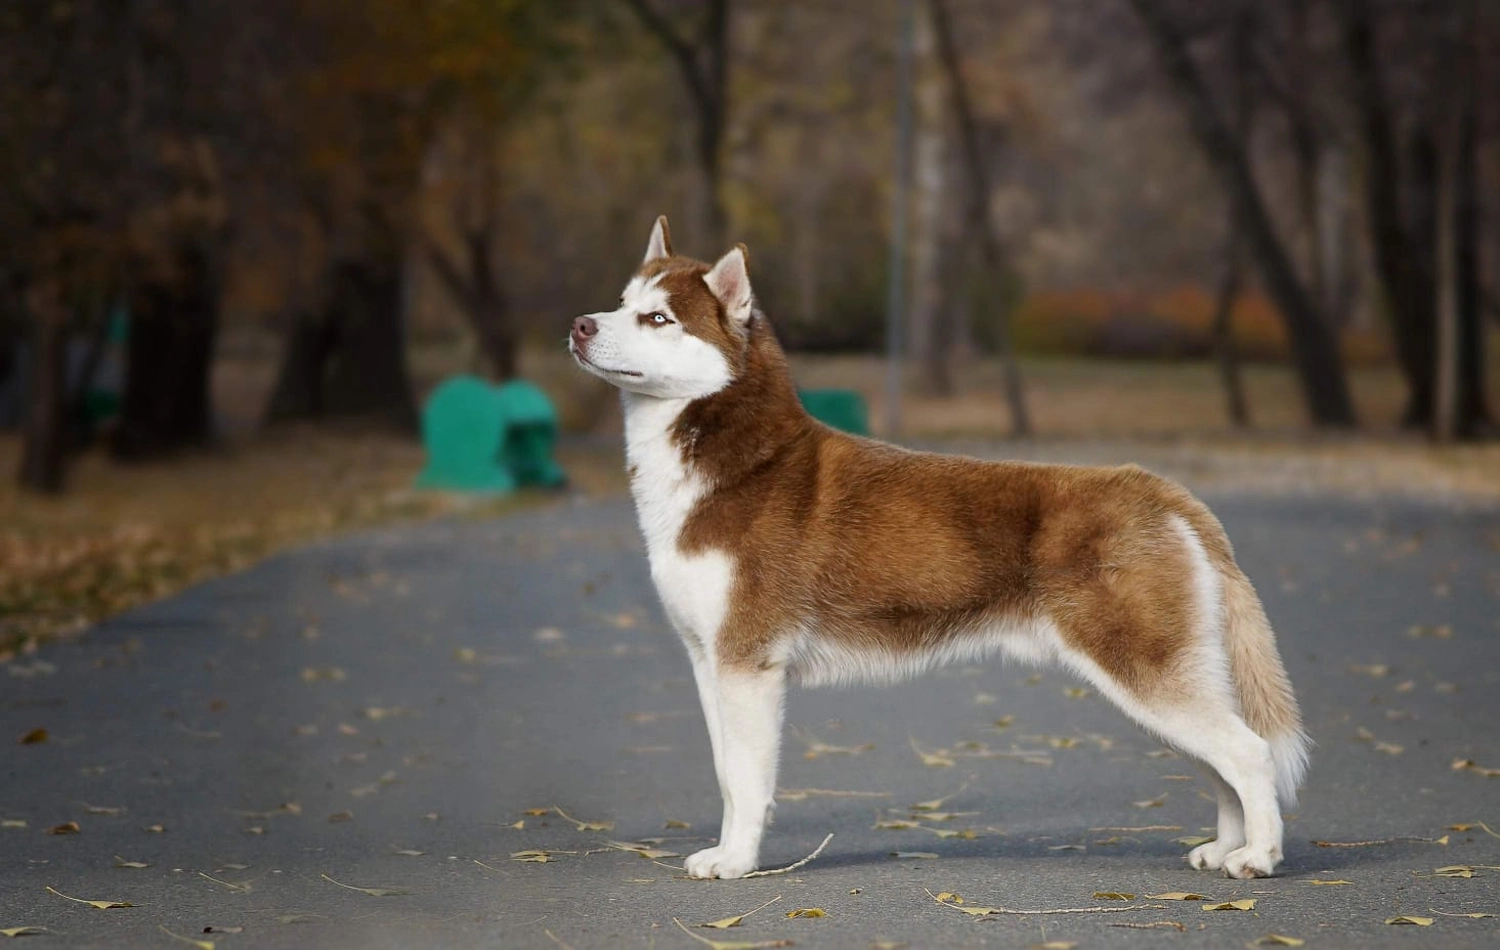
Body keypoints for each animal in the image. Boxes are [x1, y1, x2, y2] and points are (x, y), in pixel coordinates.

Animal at [567, 216, 1308, 882]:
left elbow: (747, 781)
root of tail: (1158, 488)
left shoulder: (748, 663)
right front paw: (727, 851)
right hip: (1159, 683)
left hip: (1142, 673)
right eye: (622, 303)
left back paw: (1259, 856)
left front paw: (737, 862)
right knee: (1221, 762)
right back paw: (1225, 847)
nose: (580, 324)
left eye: (659, 318)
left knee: (1249, 753)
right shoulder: (709, 660)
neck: (737, 460)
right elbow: (725, 771)